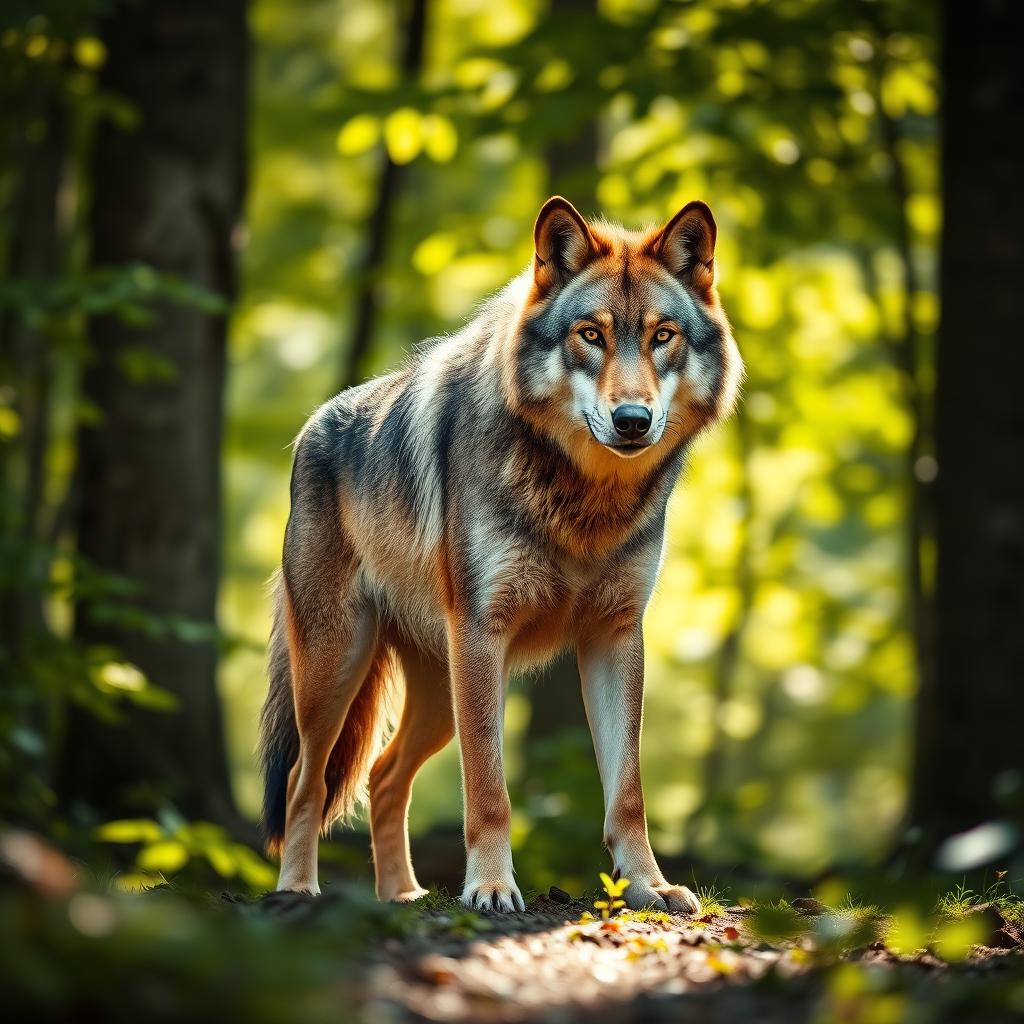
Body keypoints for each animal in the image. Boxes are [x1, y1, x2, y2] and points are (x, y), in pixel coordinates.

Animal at [258, 196, 742, 912]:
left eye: (662, 336)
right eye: (590, 335)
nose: (632, 420)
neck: (584, 502)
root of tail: (314, 425)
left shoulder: (616, 636)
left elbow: (627, 792)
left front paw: (649, 887)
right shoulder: (484, 636)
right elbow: (489, 789)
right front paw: (490, 887)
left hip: (438, 697)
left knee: (382, 775)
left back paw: (403, 895)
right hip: (339, 671)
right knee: (304, 780)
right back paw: (298, 889)